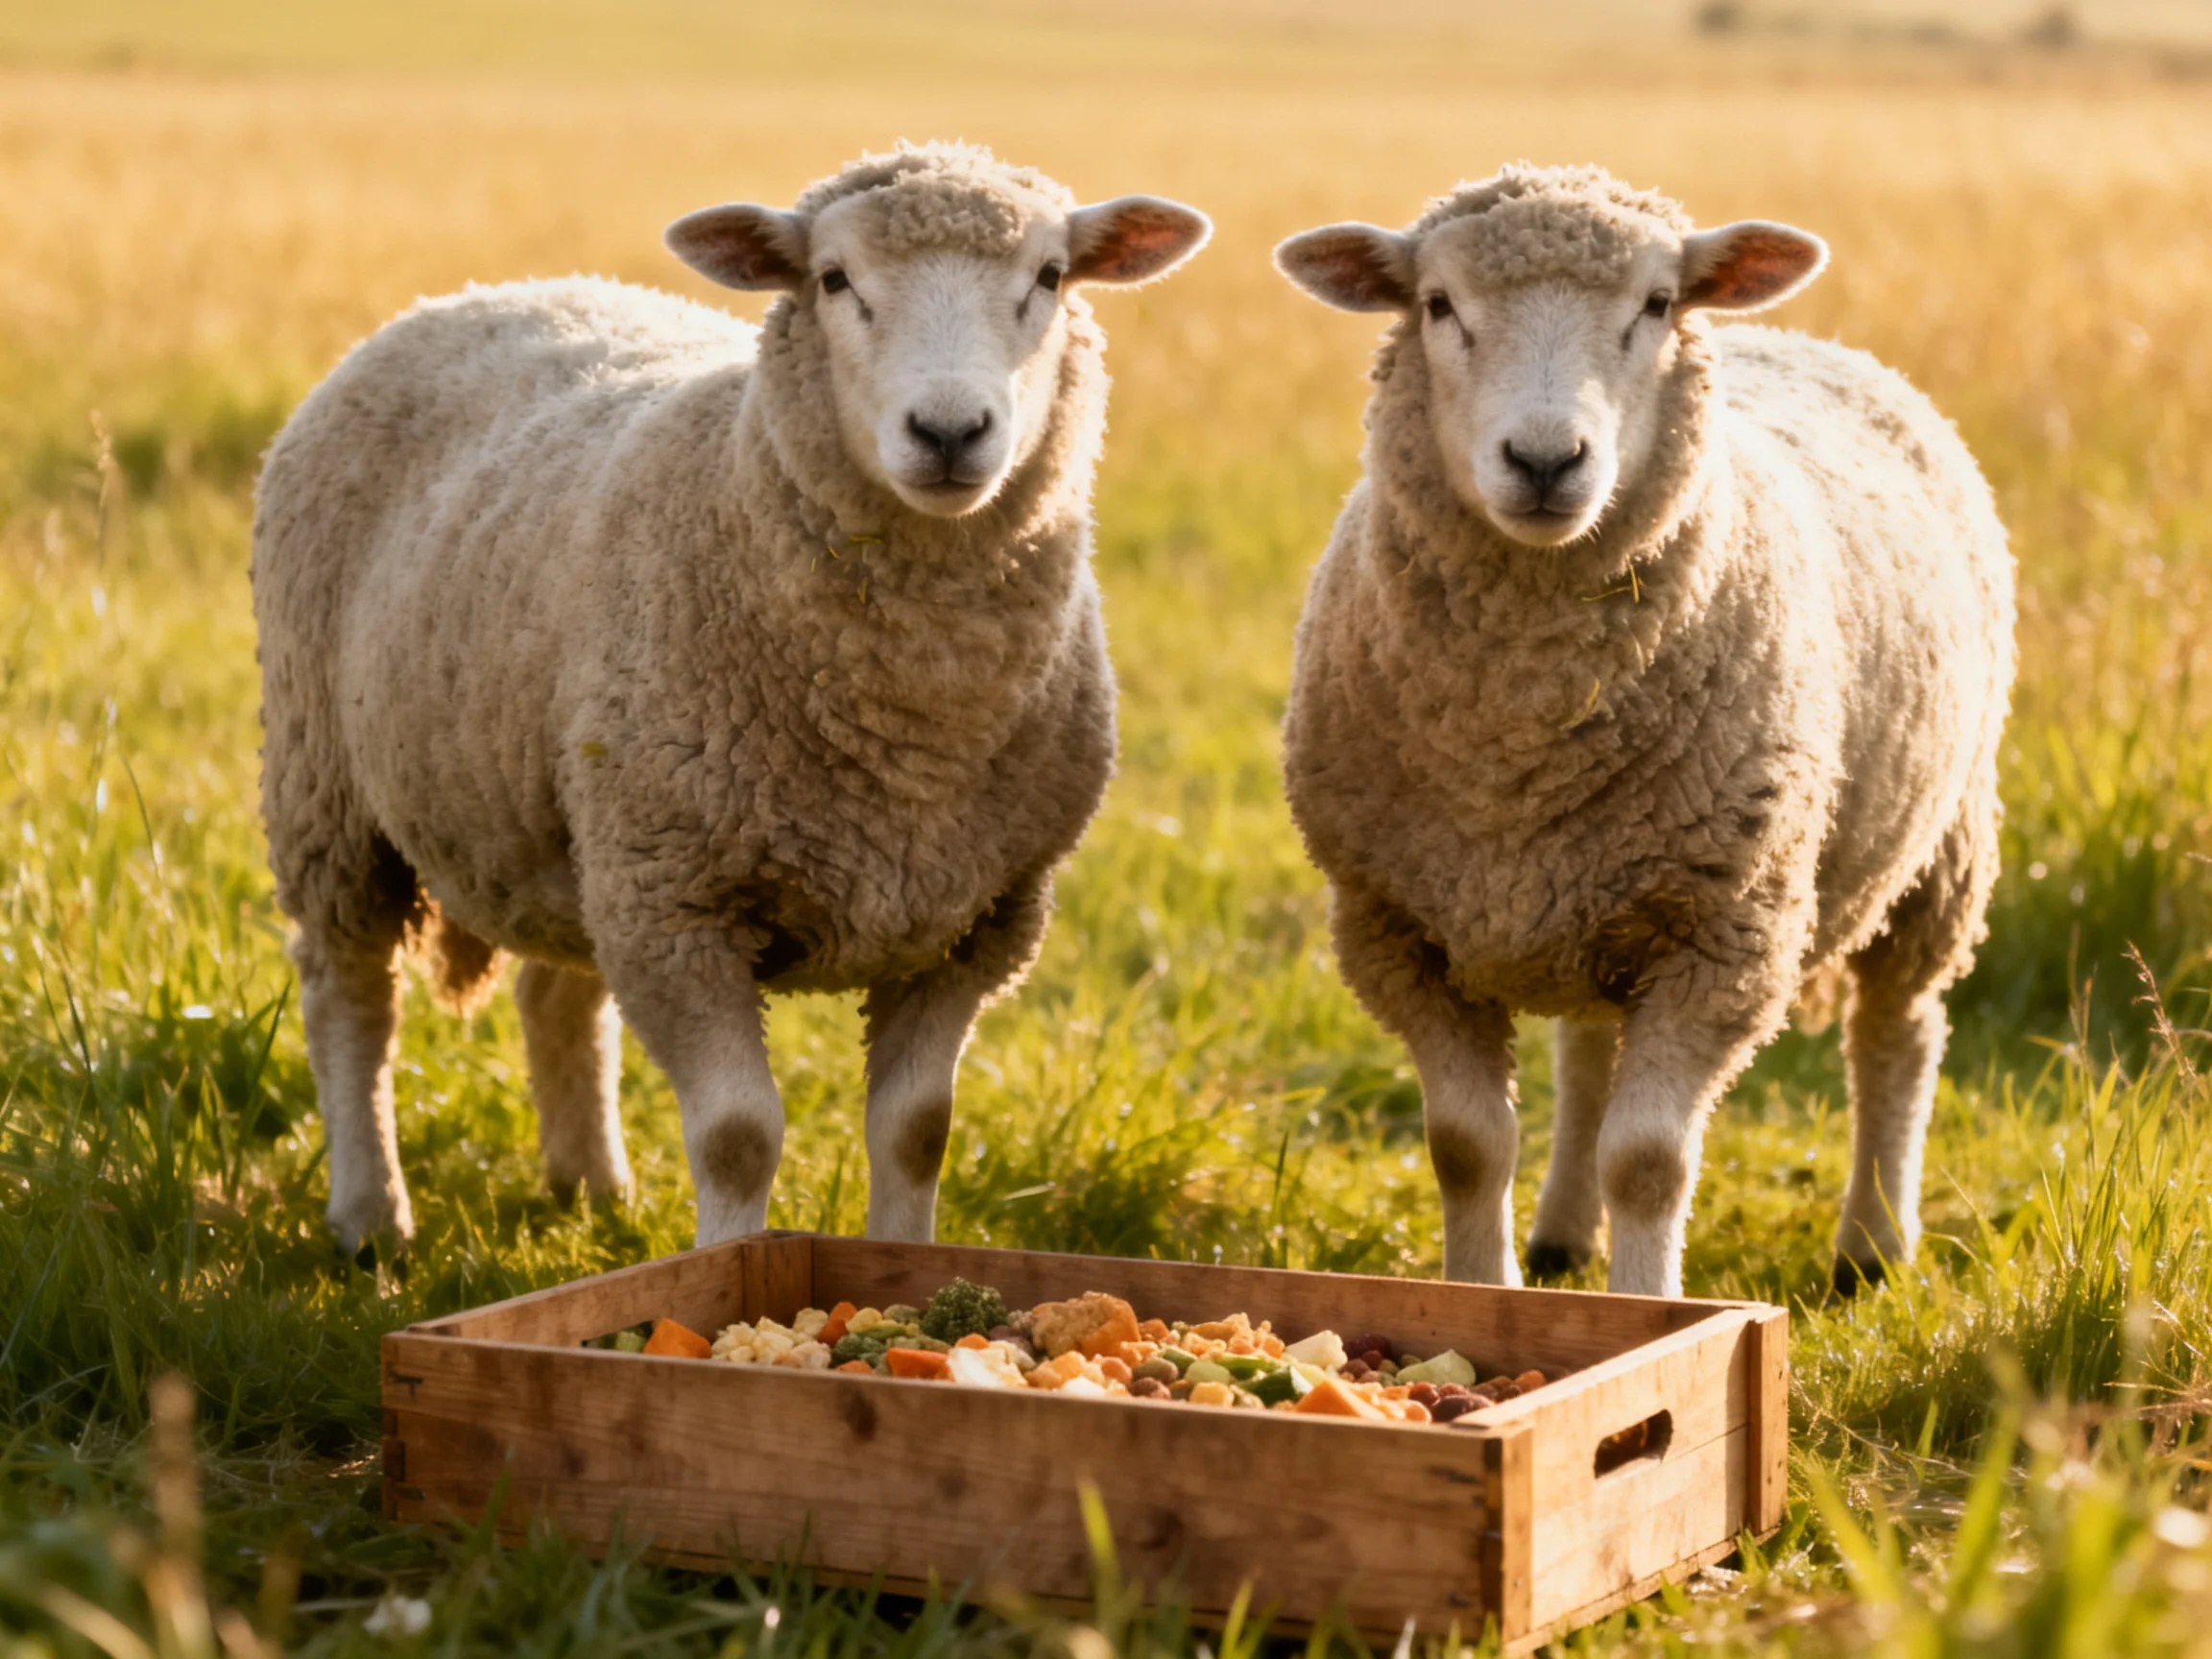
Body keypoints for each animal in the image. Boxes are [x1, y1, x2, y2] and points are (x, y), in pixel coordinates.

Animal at [252, 142, 1210, 1257]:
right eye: (833, 280)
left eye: (1051, 277)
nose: (949, 430)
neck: (909, 735)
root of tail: (482, 290)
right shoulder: (681, 907)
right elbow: (740, 1138)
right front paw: (726, 1273)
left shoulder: (975, 919)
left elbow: (919, 1131)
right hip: (333, 791)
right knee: (350, 992)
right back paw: (371, 1216)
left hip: (582, 824)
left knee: (558, 991)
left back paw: (592, 1189)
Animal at [1273, 164, 2014, 1298]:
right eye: (1438, 306)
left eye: (1657, 305)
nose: (1545, 460)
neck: (1520, 740)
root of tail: (1805, 338)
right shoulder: (1397, 929)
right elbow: (1466, 1147)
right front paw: (1484, 1294)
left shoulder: (1726, 936)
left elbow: (1652, 1161)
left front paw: (1651, 1309)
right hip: (1593, 899)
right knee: (1590, 1052)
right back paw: (1561, 1235)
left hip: (1940, 848)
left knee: (1898, 1031)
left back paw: (1873, 1247)